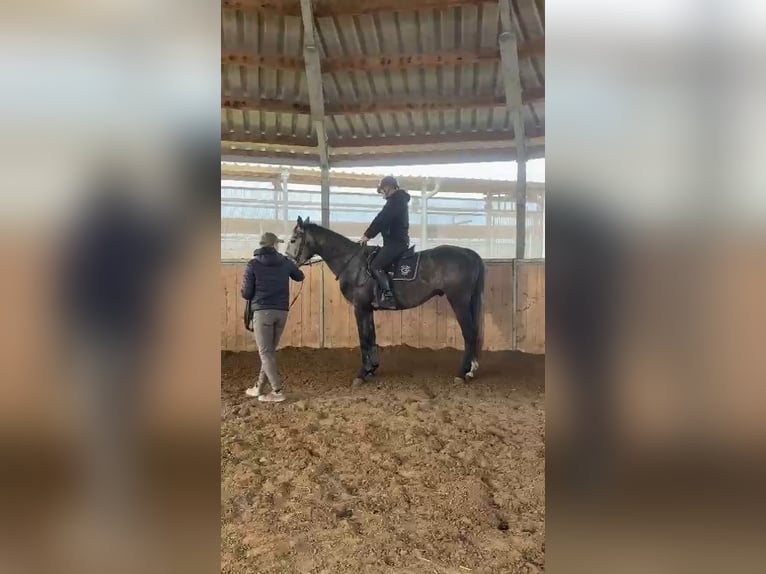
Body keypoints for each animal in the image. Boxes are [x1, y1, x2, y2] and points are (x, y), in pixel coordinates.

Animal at [284, 218, 484, 384]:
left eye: (293, 239)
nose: (290, 262)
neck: (353, 264)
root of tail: (469, 253)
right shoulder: (368, 309)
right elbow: (371, 336)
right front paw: (371, 369)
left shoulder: (359, 307)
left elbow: (363, 338)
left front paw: (361, 374)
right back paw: (470, 371)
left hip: (459, 301)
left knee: (469, 333)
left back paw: (461, 373)